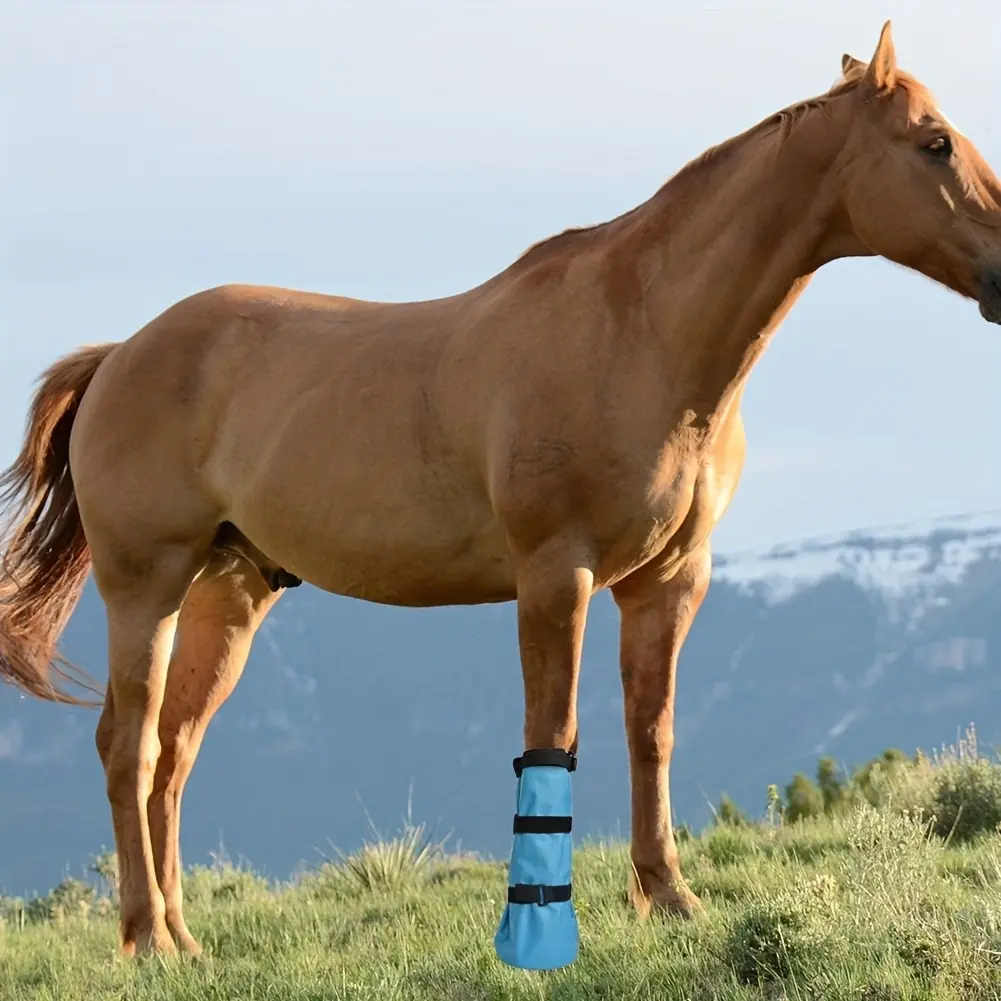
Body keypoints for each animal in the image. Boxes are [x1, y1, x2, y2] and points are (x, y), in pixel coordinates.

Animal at [2, 21, 999, 957]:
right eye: (934, 142)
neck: (639, 333)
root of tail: (120, 354)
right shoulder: (556, 575)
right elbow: (553, 733)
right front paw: (541, 922)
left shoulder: (669, 580)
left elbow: (650, 732)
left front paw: (669, 896)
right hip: (147, 585)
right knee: (128, 745)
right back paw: (145, 939)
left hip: (231, 593)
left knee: (172, 751)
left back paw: (181, 935)